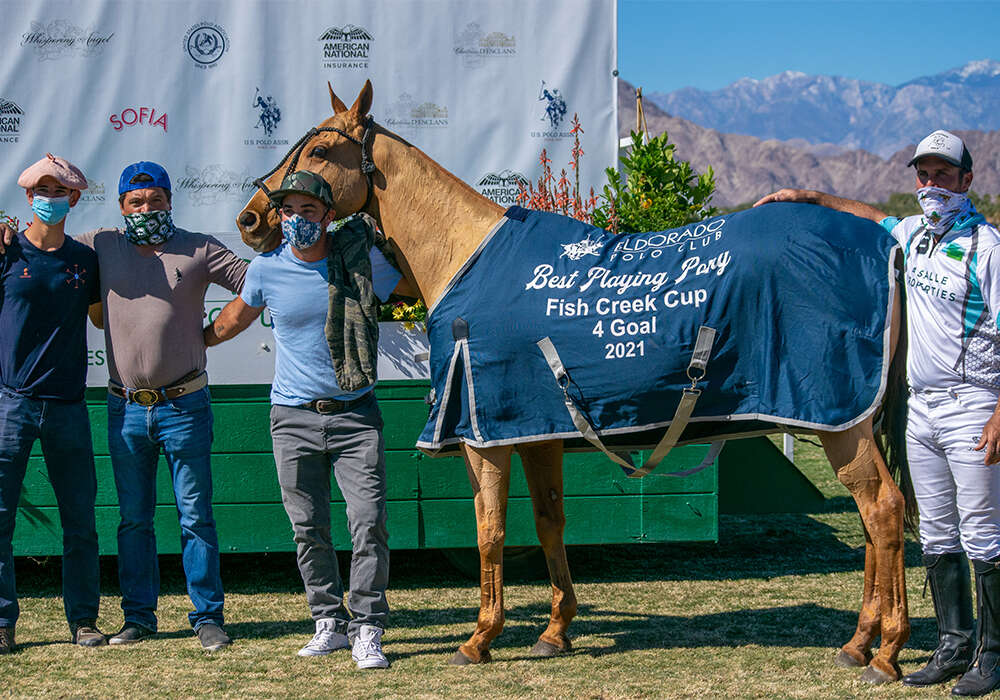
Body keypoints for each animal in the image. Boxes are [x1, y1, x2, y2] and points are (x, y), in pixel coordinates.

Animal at [236, 82, 916, 684]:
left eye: (321, 151)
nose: (252, 219)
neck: (463, 254)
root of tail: (888, 244)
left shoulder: (485, 436)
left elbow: (489, 530)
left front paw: (480, 638)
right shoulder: (537, 431)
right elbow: (548, 521)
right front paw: (555, 631)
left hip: (840, 423)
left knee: (882, 510)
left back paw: (882, 651)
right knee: (877, 518)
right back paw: (862, 641)